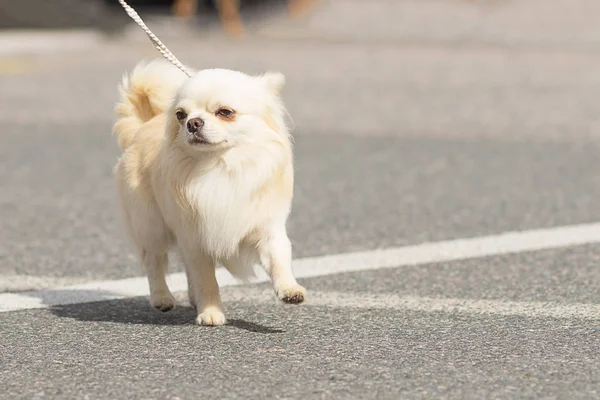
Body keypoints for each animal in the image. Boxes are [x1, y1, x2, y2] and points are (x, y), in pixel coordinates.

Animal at [113, 59, 304, 324]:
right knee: (154, 260)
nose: (193, 123)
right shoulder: (195, 238)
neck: (220, 167)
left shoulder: (267, 228)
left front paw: (289, 290)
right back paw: (162, 297)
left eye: (225, 112)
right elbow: (206, 280)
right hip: (151, 225)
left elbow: (279, 259)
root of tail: (143, 126)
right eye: (180, 115)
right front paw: (211, 313)